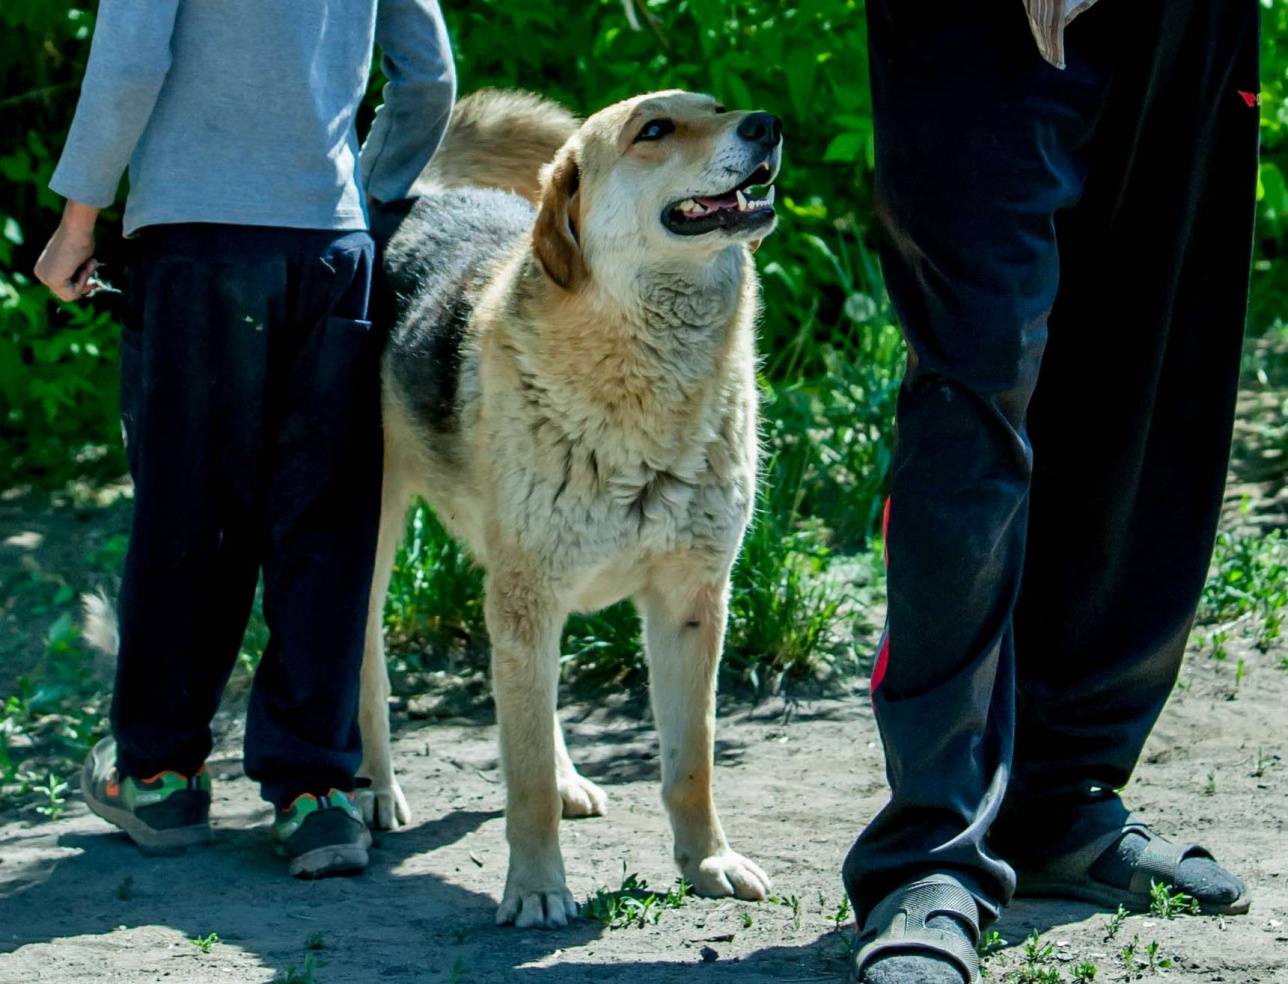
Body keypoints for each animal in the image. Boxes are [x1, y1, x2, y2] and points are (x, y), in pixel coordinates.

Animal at [363, 86, 783, 932]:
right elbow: (520, 783)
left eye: (717, 107)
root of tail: (420, 197)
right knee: (365, 668)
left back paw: (565, 779)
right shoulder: (530, 596)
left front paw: (708, 862)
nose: (766, 125)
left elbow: (692, 763)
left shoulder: (689, 605)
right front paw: (534, 889)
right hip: (376, 544)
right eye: (654, 130)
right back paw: (376, 791)